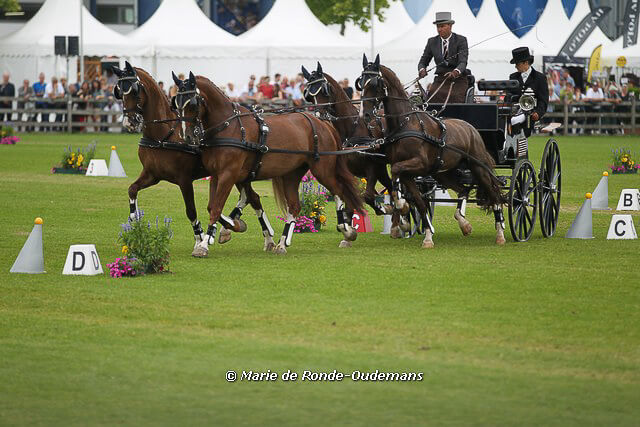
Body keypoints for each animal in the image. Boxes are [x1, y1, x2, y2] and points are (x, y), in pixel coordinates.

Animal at [112, 62, 270, 255]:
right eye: (119, 92)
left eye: (134, 91)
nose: (130, 123)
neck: (164, 135)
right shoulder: (152, 175)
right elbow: (132, 190)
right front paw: (134, 220)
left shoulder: (184, 180)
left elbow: (192, 211)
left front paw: (200, 238)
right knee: (252, 198)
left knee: (250, 197)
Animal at [171, 72, 364, 255]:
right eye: (176, 105)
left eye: (192, 104)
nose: (187, 136)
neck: (228, 127)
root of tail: (322, 122)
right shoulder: (217, 174)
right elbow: (213, 207)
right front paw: (232, 226)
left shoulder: (228, 174)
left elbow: (217, 208)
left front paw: (204, 244)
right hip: (291, 174)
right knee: (295, 205)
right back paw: (282, 243)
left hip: (322, 170)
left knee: (338, 190)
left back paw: (346, 230)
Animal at [358, 54, 507, 248]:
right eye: (361, 83)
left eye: (375, 83)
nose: (365, 115)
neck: (404, 124)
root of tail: (471, 128)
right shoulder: (409, 174)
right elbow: (420, 203)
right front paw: (427, 235)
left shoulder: (418, 165)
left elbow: (397, 172)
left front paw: (401, 204)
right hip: (443, 173)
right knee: (463, 190)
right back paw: (464, 223)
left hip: (478, 168)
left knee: (495, 196)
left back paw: (500, 233)